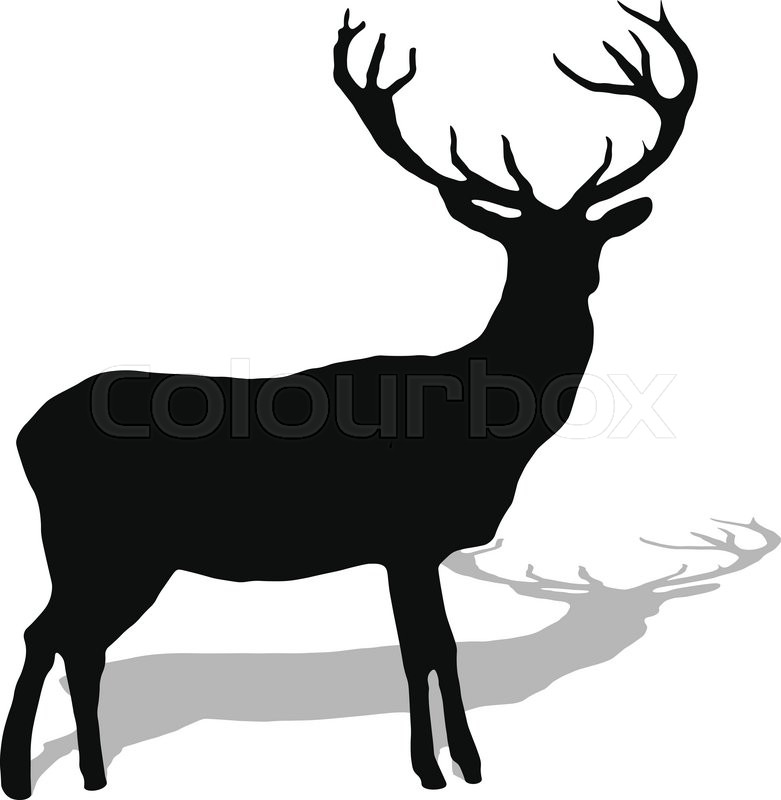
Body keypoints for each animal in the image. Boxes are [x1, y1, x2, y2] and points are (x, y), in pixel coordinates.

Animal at [0, 4, 697, 797]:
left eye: (591, 238)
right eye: (517, 244)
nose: (575, 283)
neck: (482, 423)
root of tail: (26, 432)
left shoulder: (415, 547)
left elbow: (436, 647)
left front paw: (459, 763)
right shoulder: (404, 536)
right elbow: (424, 650)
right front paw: (439, 767)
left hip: (121, 555)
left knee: (76, 641)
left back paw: (91, 773)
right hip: (99, 540)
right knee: (48, 633)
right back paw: (21, 775)